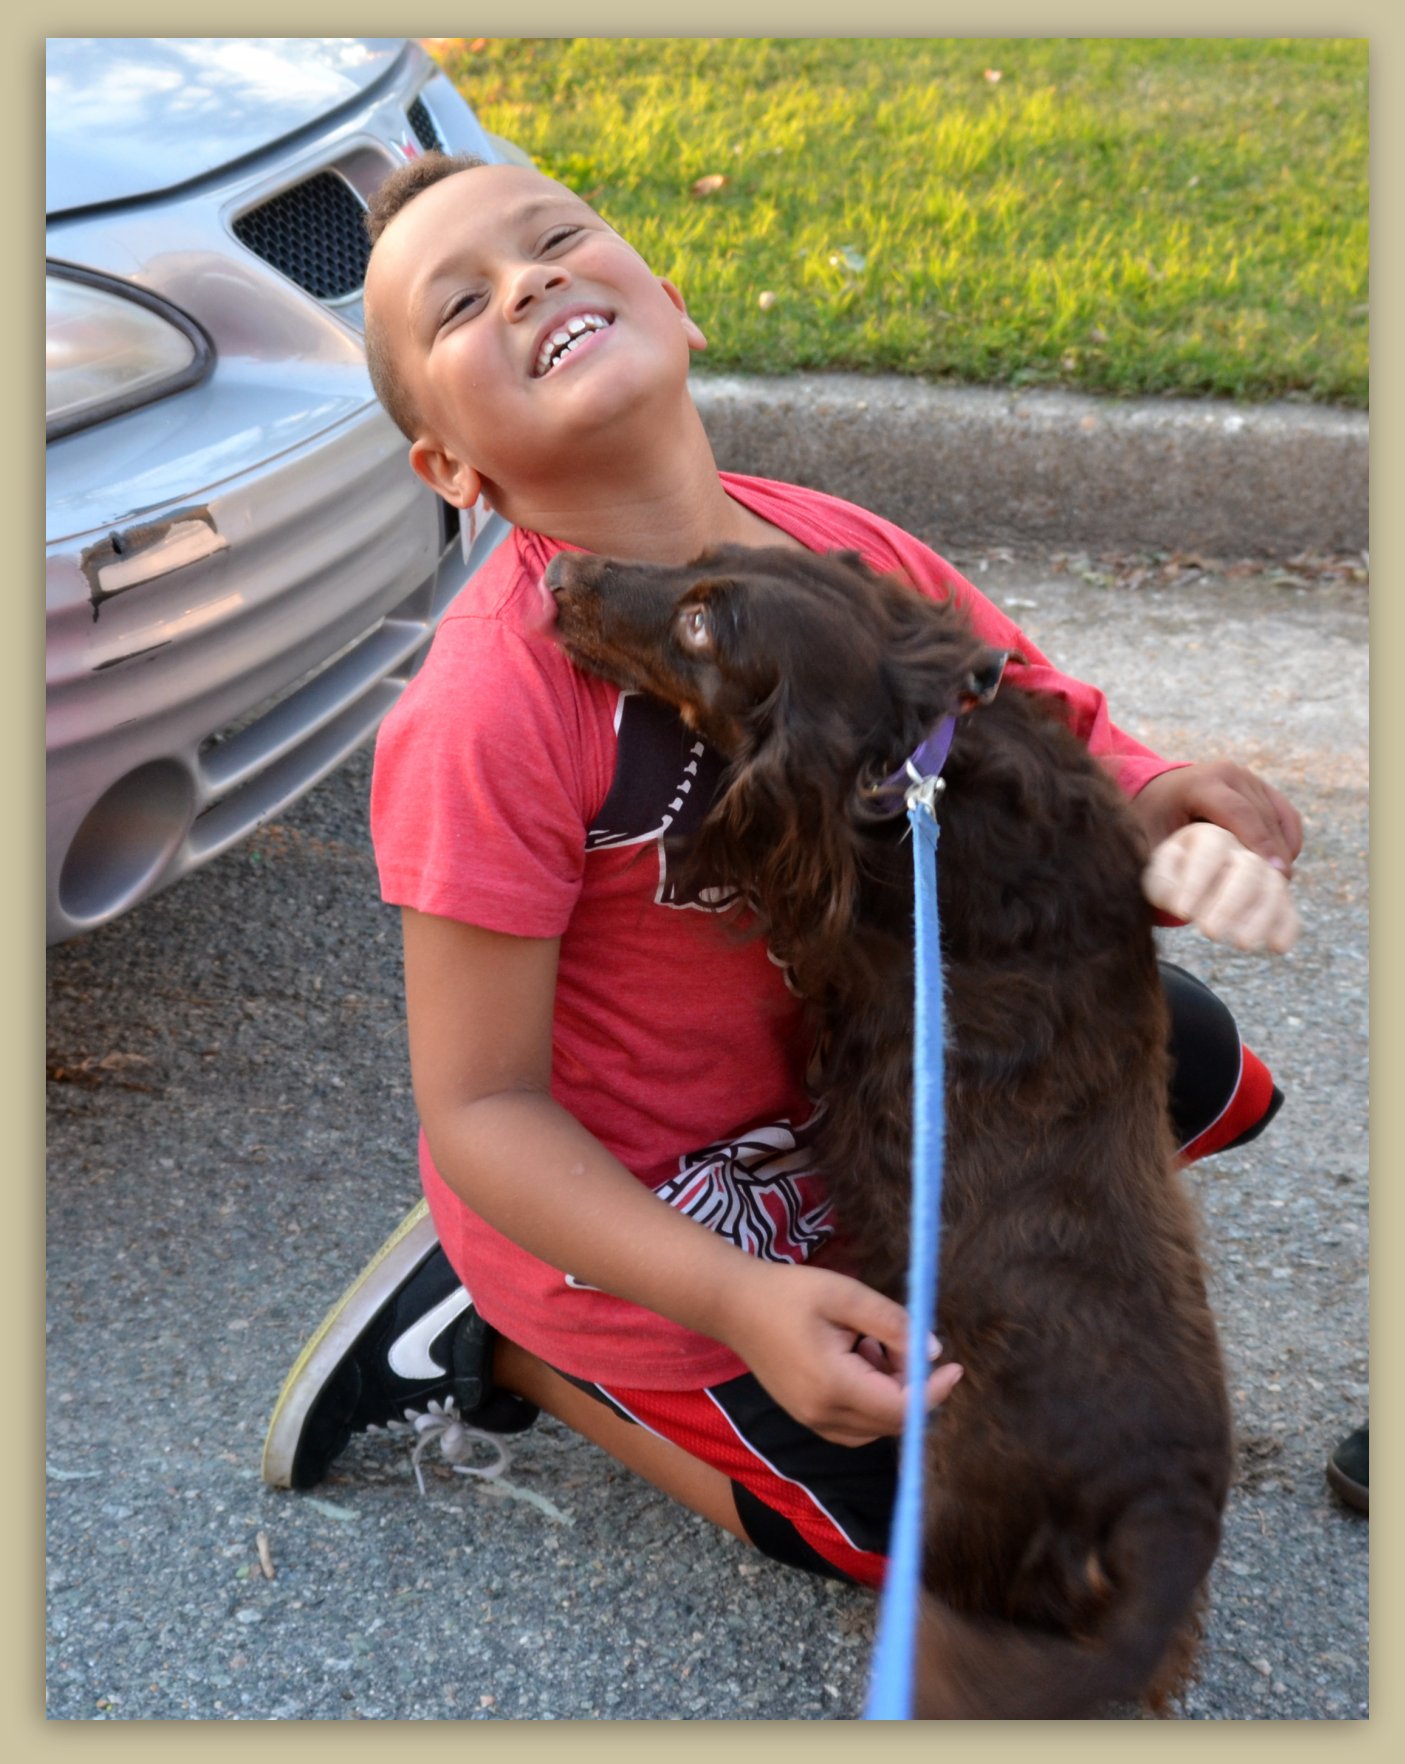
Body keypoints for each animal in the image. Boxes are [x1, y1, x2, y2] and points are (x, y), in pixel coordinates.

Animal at [547, 543, 1228, 1714]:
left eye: (700, 630)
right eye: (697, 559)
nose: (561, 577)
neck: (920, 756)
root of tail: (1163, 1513)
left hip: (949, 1521)